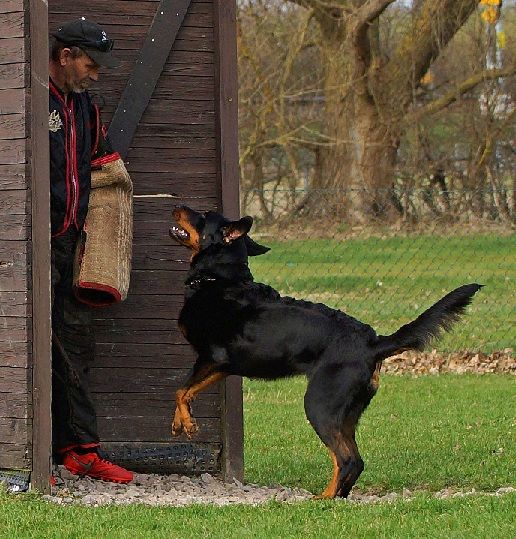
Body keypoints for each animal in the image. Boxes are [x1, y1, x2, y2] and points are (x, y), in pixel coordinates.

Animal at [170, 206, 484, 498]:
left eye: (203, 215)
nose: (178, 207)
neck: (218, 279)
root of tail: (373, 342)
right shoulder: (223, 366)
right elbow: (188, 391)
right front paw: (179, 423)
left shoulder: (213, 357)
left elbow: (181, 390)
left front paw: (187, 425)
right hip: (346, 412)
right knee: (354, 460)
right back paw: (336, 496)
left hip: (320, 404)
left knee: (347, 459)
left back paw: (325, 499)